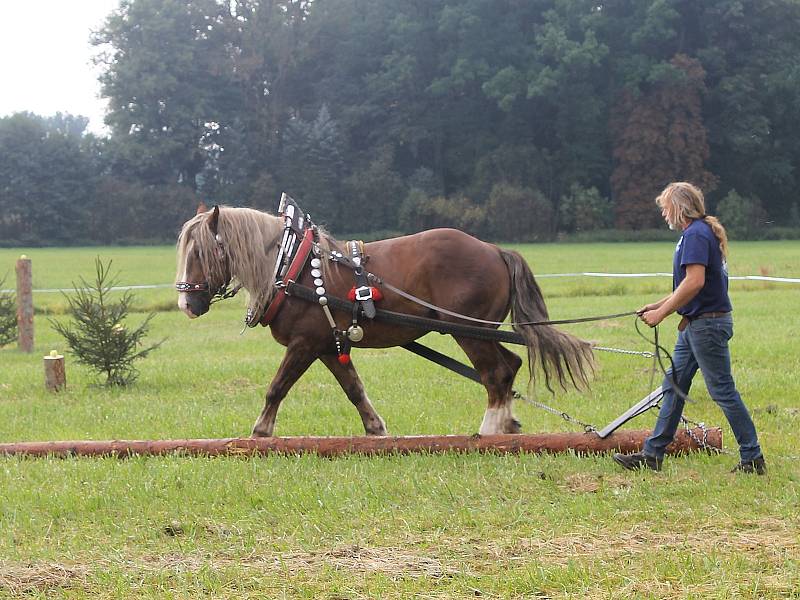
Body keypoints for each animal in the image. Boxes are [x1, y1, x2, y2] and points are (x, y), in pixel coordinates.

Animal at [177, 206, 592, 436]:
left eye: (200, 252)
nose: (186, 302)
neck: (292, 267)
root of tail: (494, 250)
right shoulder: (328, 345)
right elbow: (354, 389)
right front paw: (375, 429)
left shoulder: (304, 344)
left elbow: (277, 387)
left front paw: (260, 431)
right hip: (481, 332)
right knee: (511, 365)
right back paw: (507, 424)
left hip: (469, 332)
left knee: (497, 373)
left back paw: (488, 430)